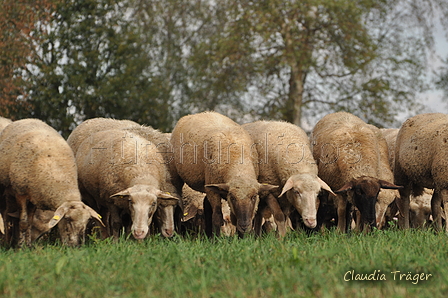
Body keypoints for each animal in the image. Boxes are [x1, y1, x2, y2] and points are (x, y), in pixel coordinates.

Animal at [0, 118, 103, 247]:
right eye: (67, 219)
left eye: (87, 221)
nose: (77, 246)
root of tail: (27, 119)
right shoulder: (20, 193)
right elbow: (23, 222)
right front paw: (20, 247)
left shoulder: (34, 197)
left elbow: (30, 222)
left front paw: (28, 246)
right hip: (6, 189)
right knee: (5, 214)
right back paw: (6, 242)